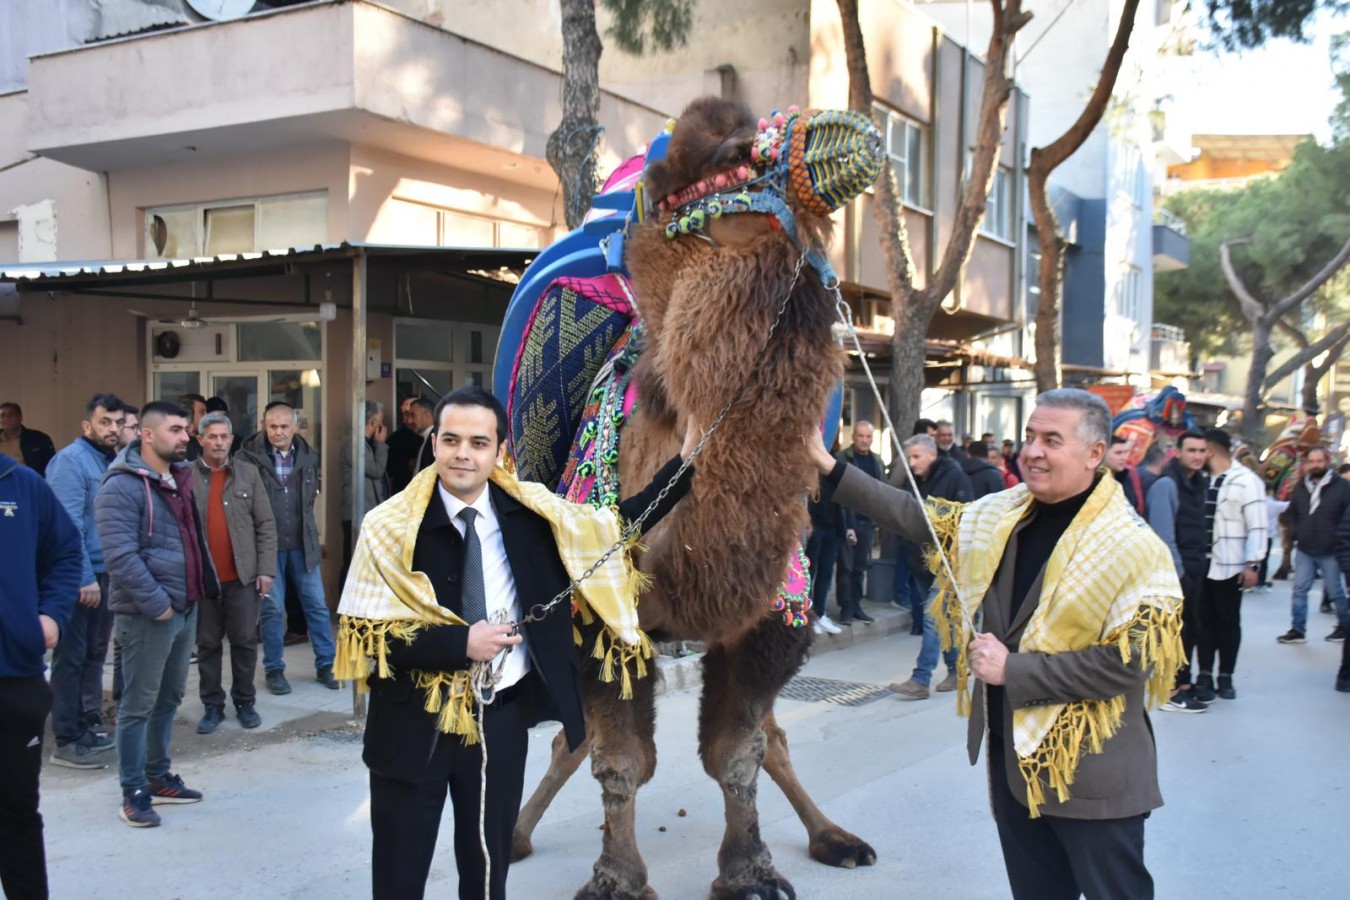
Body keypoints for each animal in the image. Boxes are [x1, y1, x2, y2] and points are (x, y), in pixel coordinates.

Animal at [510, 98, 880, 900]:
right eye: (709, 180)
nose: (854, 140)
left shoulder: (772, 618)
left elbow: (740, 753)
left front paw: (750, 872)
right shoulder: (596, 611)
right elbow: (619, 760)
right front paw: (617, 880)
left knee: (774, 738)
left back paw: (835, 838)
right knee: (571, 739)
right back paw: (515, 836)